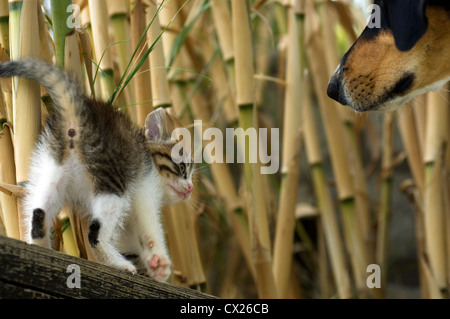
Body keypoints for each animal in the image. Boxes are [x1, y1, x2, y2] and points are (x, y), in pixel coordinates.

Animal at [0, 58, 193, 282]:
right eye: (182, 168)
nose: (190, 188)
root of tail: (76, 117)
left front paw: (150, 264)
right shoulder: (144, 188)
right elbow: (150, 224)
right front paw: (159, 262)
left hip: (51, 167)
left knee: (39, 213)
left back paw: (43, 249)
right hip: (112, 179)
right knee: (95, 234)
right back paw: (119, 264)